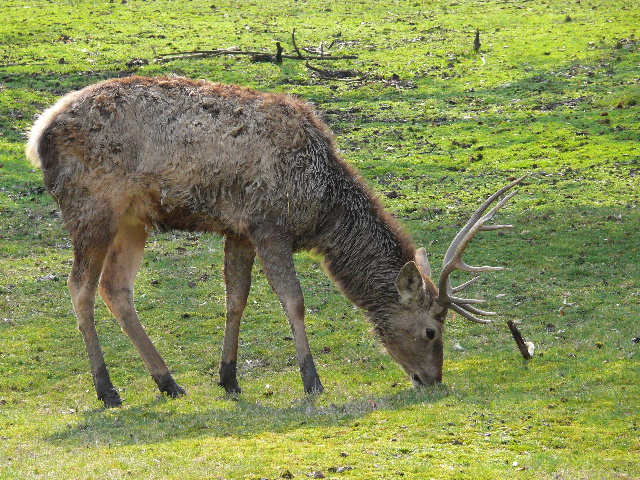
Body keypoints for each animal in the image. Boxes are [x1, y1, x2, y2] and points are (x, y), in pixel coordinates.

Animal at [26, 76, 524, 408]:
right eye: (431, 330)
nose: (432, 379)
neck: (320, 205)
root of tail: (38, 134)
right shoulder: (269, 224)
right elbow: (293, 301)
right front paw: (312, 380)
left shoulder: (239, 228)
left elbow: (236, 298)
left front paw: (228, 378)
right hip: (93, 207)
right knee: (80, 288)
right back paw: (107, 389)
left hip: (134, 218)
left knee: (116, 288)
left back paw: (167, 381)